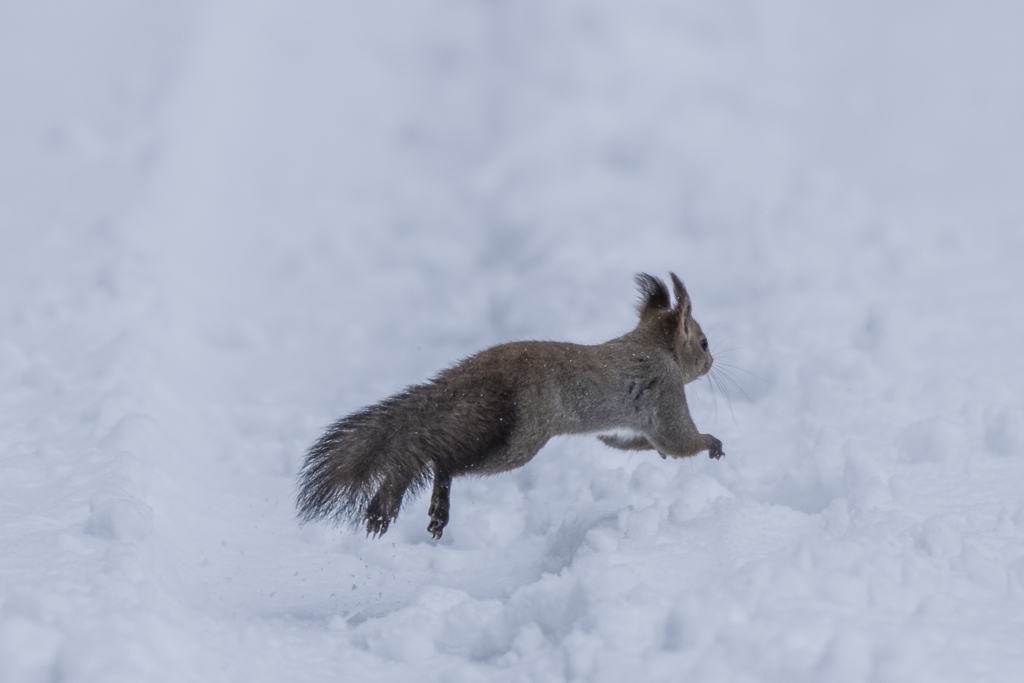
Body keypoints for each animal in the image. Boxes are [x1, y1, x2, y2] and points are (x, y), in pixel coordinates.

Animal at [299, 272, 724, 540]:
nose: (711, 362)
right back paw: (436, 506)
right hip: (521, 436)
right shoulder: (665, 395)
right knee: (444, 460)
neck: (653, 345)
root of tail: (480, 371)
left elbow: (638, 442)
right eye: (703, 342)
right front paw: (712, 443)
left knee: (429, 448)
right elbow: (679, 440)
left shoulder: (638, 422)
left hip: (488, 419)